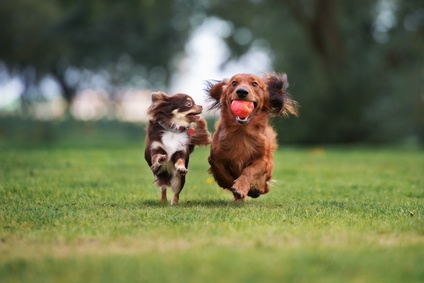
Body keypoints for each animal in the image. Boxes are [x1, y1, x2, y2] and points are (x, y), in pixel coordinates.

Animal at [205, 73, 298, 202]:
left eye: (255, 84)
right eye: (234, 83)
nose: (242, 92)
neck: (241, 131)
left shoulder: (263, 161)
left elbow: (248, 170)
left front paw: (241, 187)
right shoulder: (215, 158)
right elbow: (222, 172)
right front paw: (231, 185)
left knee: (265, 187)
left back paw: (255, 190)